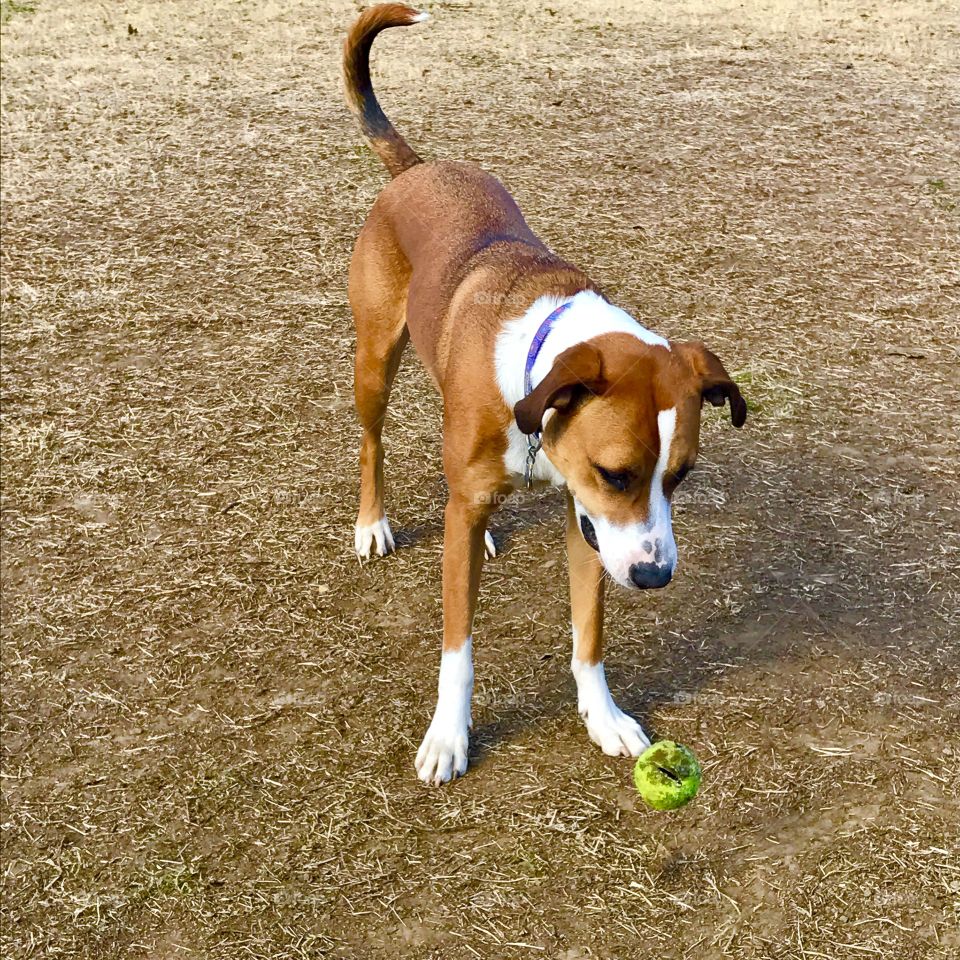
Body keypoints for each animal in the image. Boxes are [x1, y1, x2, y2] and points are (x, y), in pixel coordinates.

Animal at [342, 5, 748, 788]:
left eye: (680, 476)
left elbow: (588, 631)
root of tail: (419, 167)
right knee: (374, 442)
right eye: (617, 473)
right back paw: (374, 524)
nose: (655, 576)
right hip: (374, 361)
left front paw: (604, 716)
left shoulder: (585, 519)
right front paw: (448, 736)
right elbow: (458, 648)